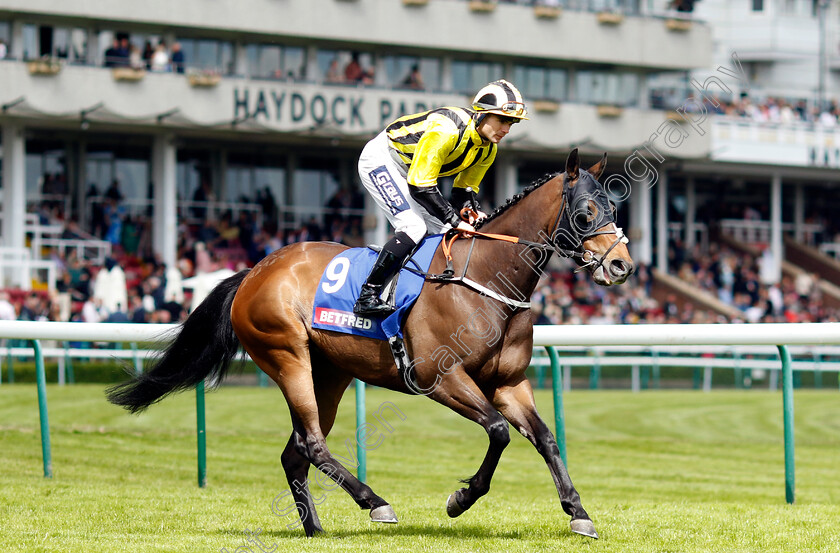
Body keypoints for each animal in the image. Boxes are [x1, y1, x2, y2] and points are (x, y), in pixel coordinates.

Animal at [105, 149, 632, 536]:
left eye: (614, 207)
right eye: (585, 213)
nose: (623, 266)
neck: (483, 278)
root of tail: (254, 270)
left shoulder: (508, 382)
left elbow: (545, 438)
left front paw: (579, 512)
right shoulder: (439, 377)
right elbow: (499, 431)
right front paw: (460, 499)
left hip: (331, 373)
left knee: (295, 451)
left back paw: (315, 529)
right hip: (287, 356)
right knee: (312, 442)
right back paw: (374, 502)